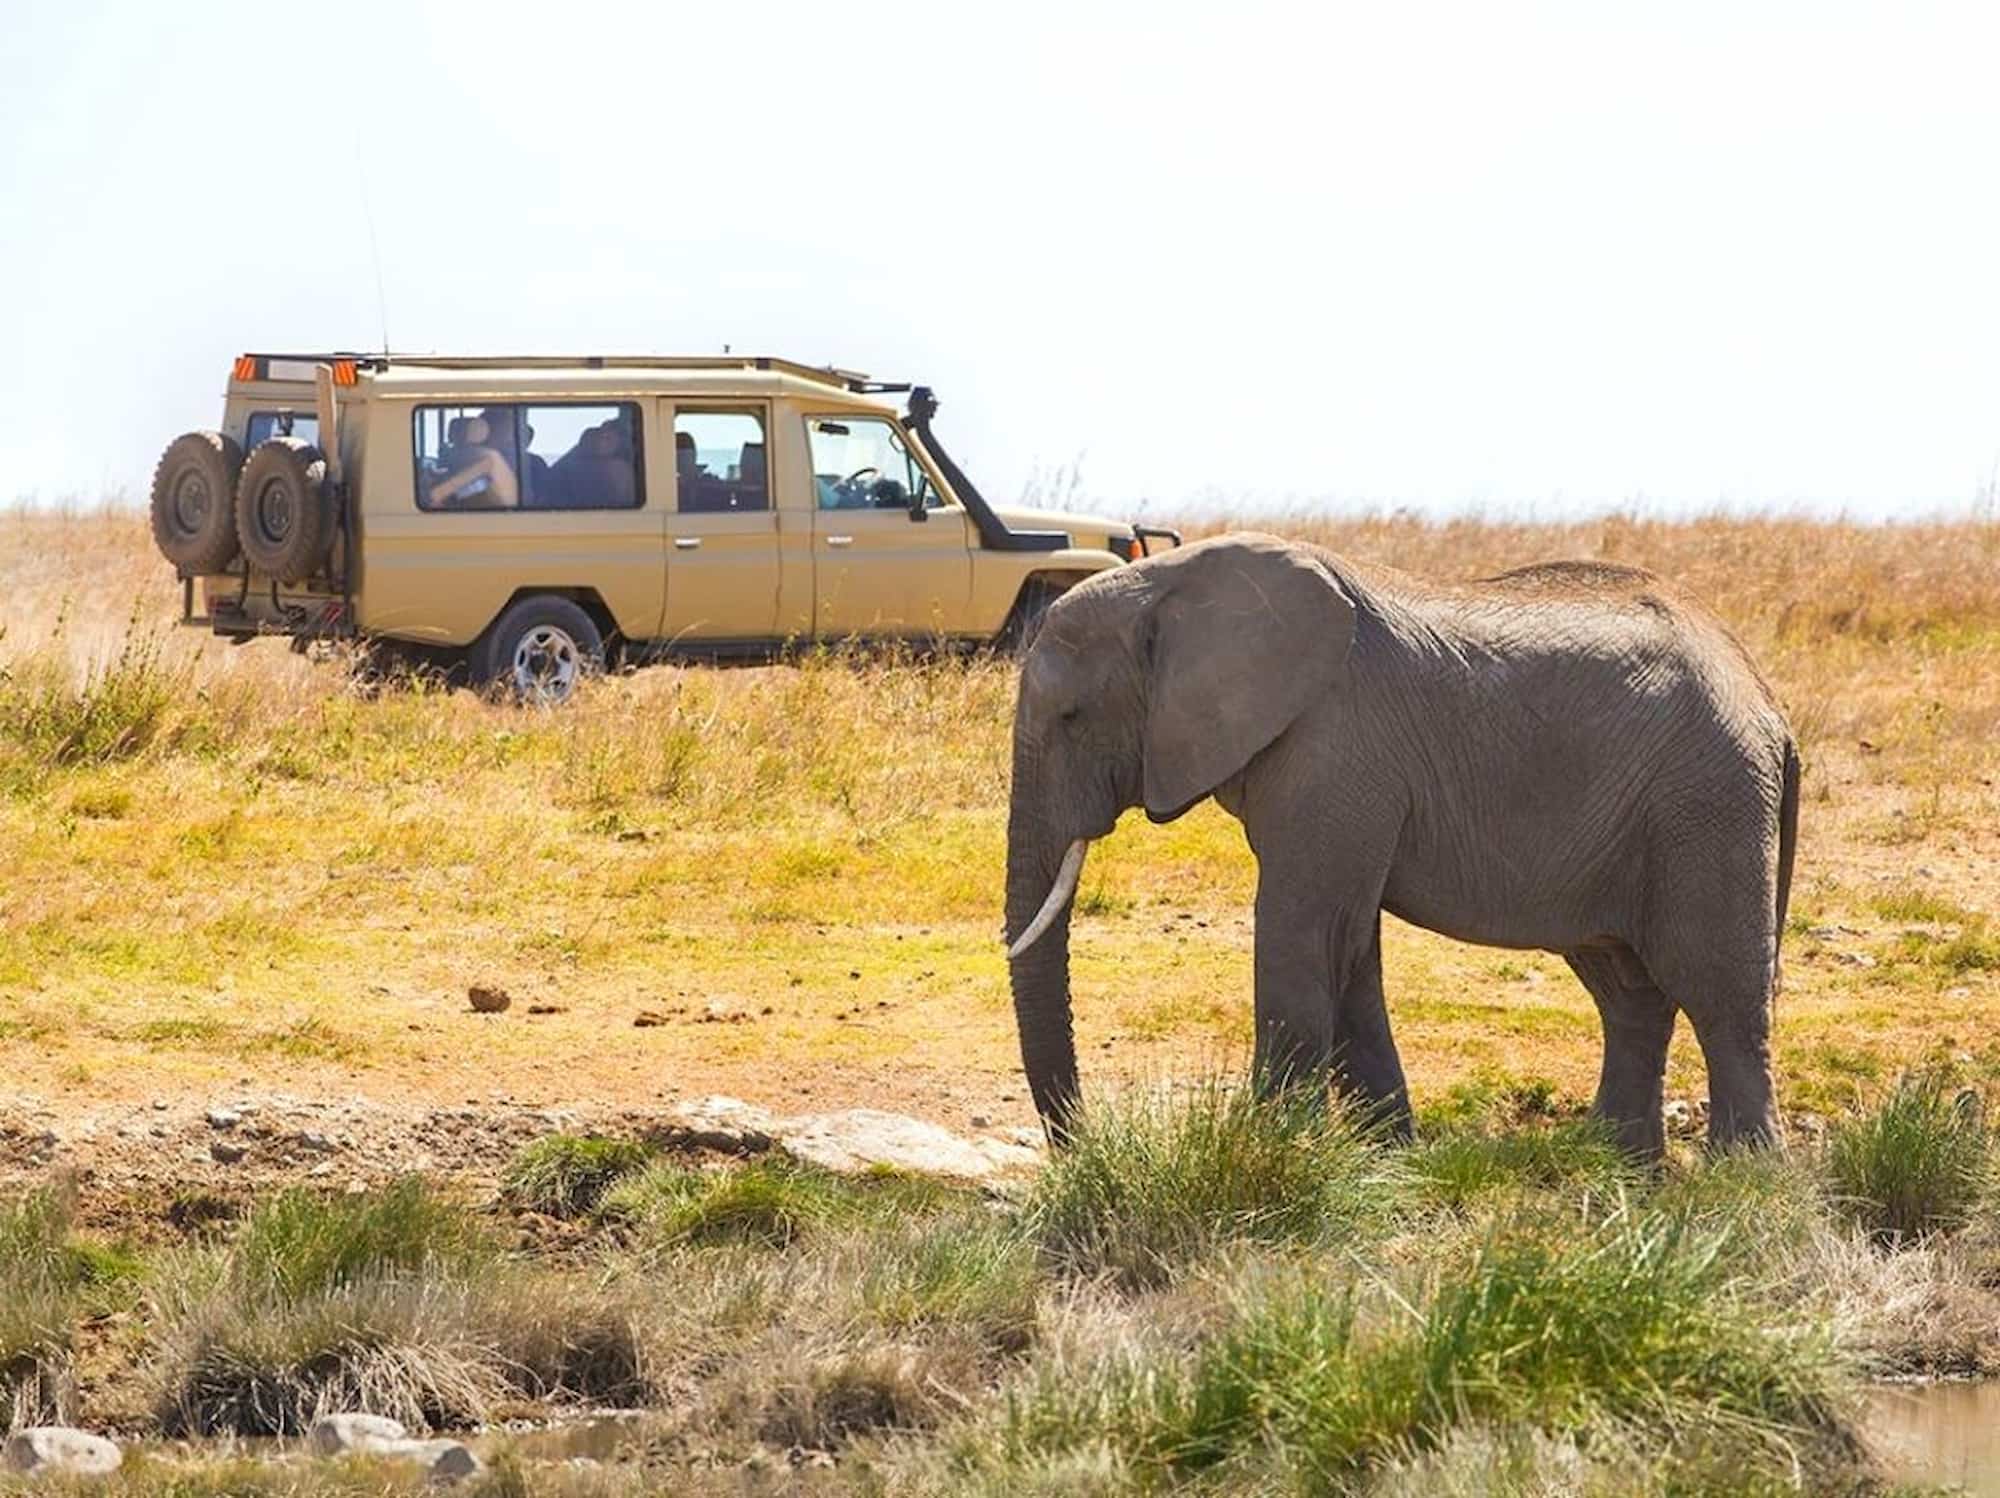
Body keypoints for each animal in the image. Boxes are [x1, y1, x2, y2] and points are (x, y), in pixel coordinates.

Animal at [1003, 533, 1799, 1159]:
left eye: (1071, 716)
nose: (1083, 1148)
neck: (1171, 583)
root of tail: (1767, 700)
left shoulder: (1337, 747)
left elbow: (1307, 933)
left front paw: (1266, 1153)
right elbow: (1349, 948)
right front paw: (1388, 1157)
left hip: (1707, 802)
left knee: (1720, 993)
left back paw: (1741, 1181)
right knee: (1629, 991)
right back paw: (1620, 1167)